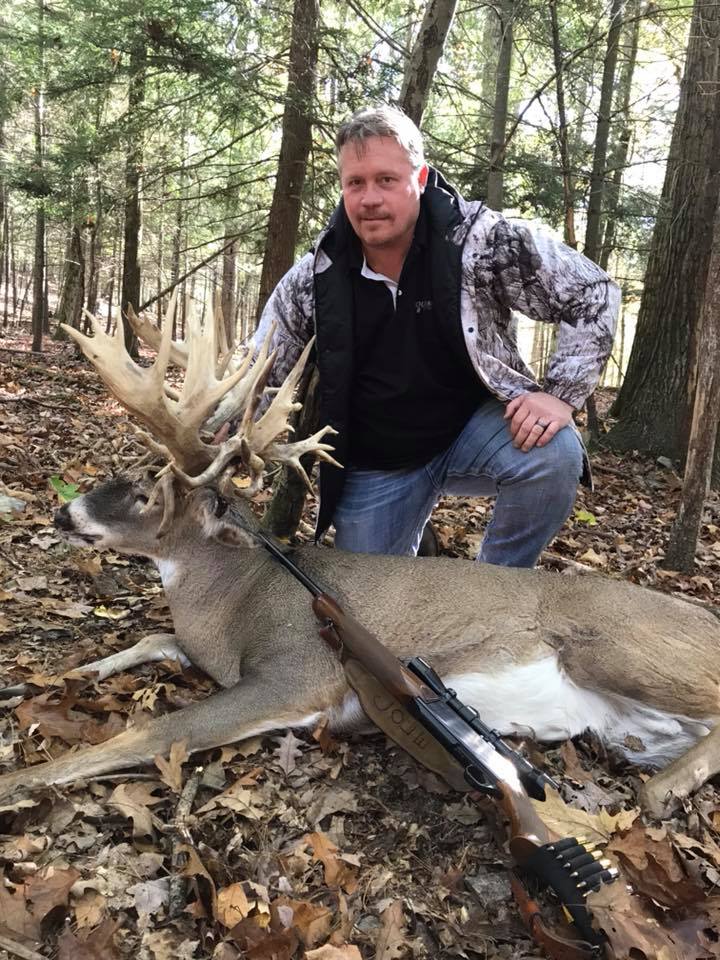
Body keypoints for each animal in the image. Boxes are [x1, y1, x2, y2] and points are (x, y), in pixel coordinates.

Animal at [1, 296, 719, 821]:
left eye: (147, 489)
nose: (64, 514)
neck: (232, 603)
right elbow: (151, 638)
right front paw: (60, 674)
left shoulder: (298, 676)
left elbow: (152, 733)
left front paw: (20, 784)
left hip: (620, 645)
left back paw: (657, 794)